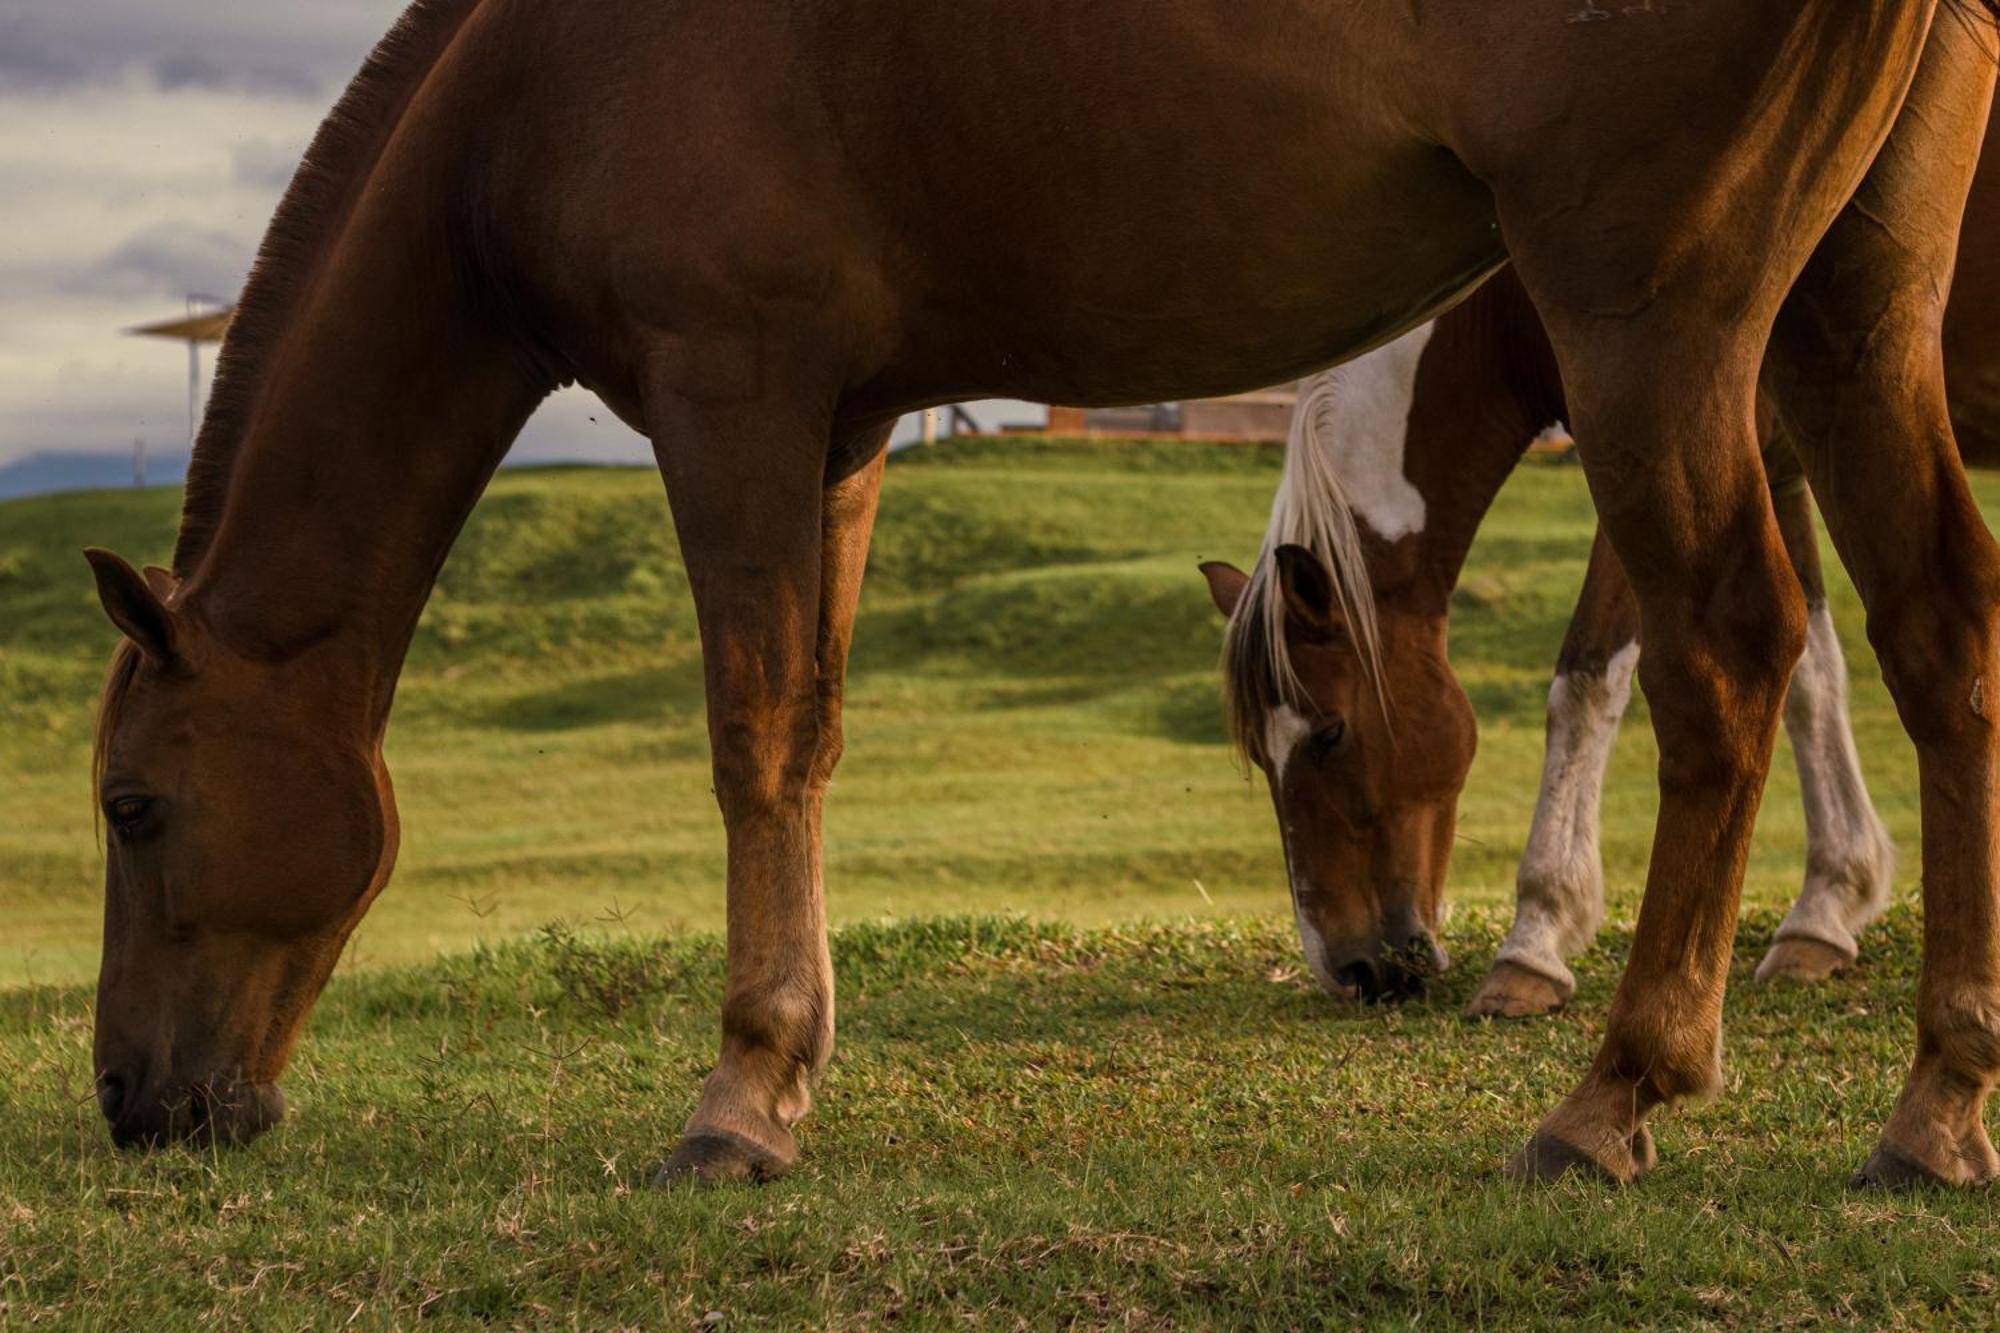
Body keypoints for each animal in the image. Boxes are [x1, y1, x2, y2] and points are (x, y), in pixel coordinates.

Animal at [82, 0, 2000, 1184]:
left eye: (130, 804)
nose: (127, 1101)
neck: (540, 86)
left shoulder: (733, 397)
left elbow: (749, 735)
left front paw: (738, 1096)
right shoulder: (840, 430)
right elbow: (811, 738)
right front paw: (793, 1063)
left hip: (1654, 326)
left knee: (1731, 651)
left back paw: (1614, 1095)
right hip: (1837, 321)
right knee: (1936, 632)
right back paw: (1933, 1107)